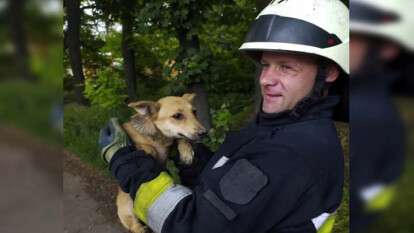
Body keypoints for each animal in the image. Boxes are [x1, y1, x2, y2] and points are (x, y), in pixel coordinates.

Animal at [115, 93, 206, 233]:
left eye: (194, 112)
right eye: (177, 116)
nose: (204, 133)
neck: (159, 138)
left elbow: (181, 138)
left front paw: (186, 151)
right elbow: (144, 147)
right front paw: (150, 151)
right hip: (128, 210)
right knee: (135, 226)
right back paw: (141, 229)